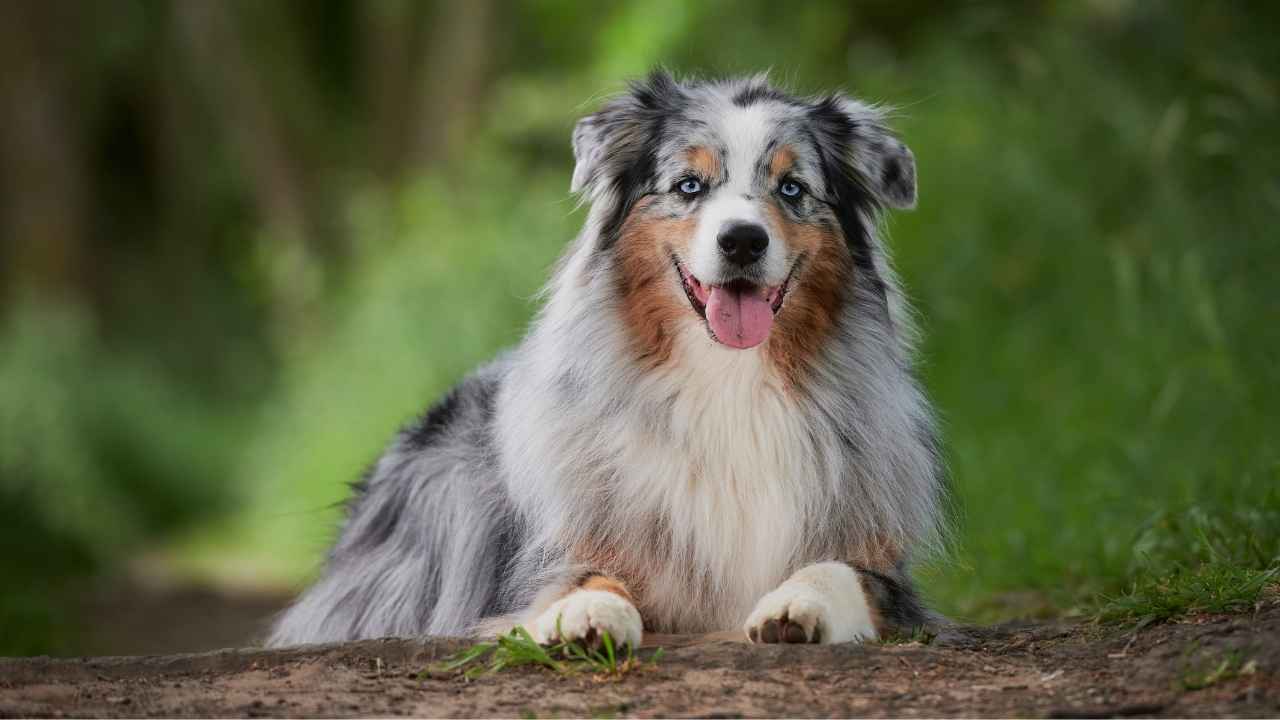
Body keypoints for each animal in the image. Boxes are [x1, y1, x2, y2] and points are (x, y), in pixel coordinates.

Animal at [270, 71, 947, 645]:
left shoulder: (886, 571)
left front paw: (795, 604)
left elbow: (840, 570)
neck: (727, 379)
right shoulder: (557, 552)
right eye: (688, 185)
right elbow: (585, 576)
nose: (742, 241)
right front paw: (588, 614)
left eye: (791, 188)